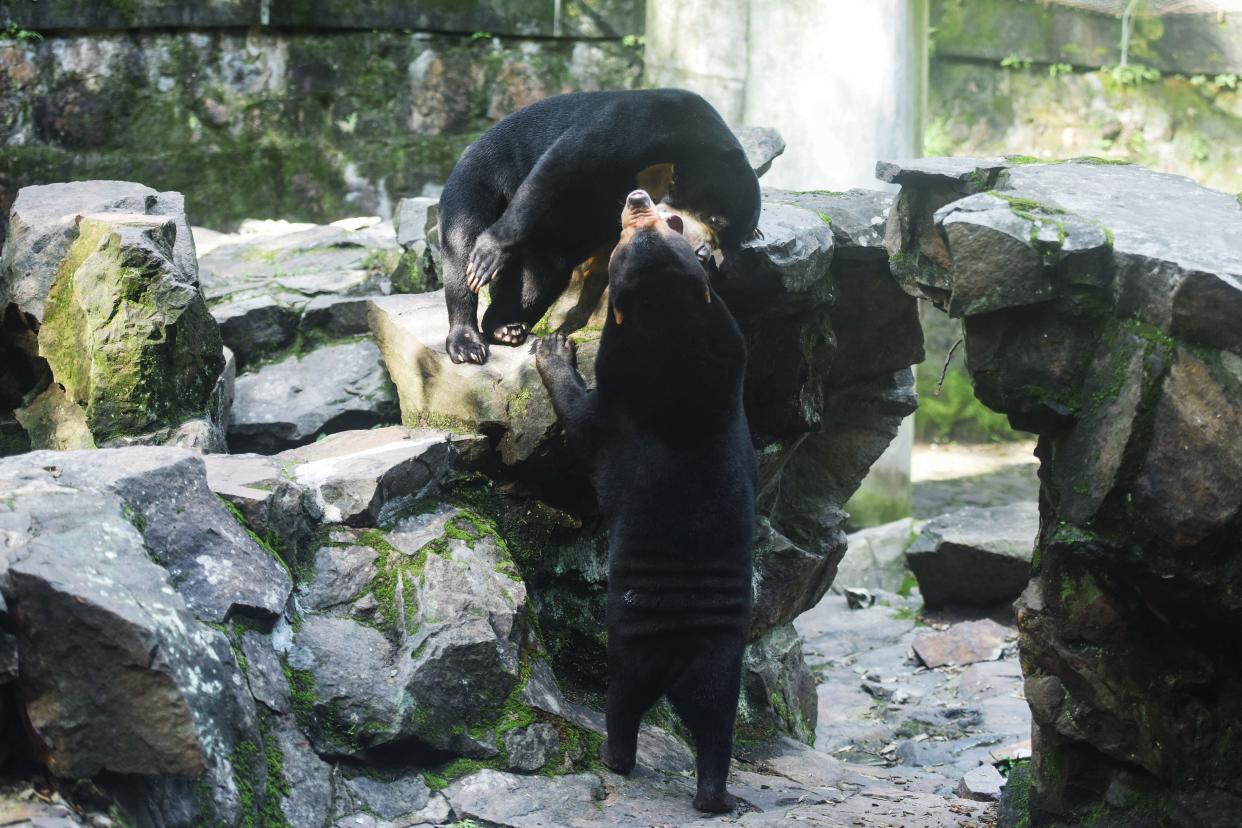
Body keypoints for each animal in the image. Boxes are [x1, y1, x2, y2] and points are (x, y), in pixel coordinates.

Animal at [437, 89, 765, 364]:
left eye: (725, 243)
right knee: (461, 242)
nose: (702, 254)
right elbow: (559, 166)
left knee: (539, 276)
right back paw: (467, 342)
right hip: (479, 177)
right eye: (715, 220)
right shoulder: (641, 125)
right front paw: (489, 255)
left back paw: (505, 327)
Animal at [534, 189, 755, 814]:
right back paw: (715, 796)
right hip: (723, 662)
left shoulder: (614, 411)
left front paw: (553, 348)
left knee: (624, 703)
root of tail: (680, 658)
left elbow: (580, 419)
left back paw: (614, 757)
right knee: (717, 725)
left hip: (631, 647)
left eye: (663, 223)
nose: (635, 195)